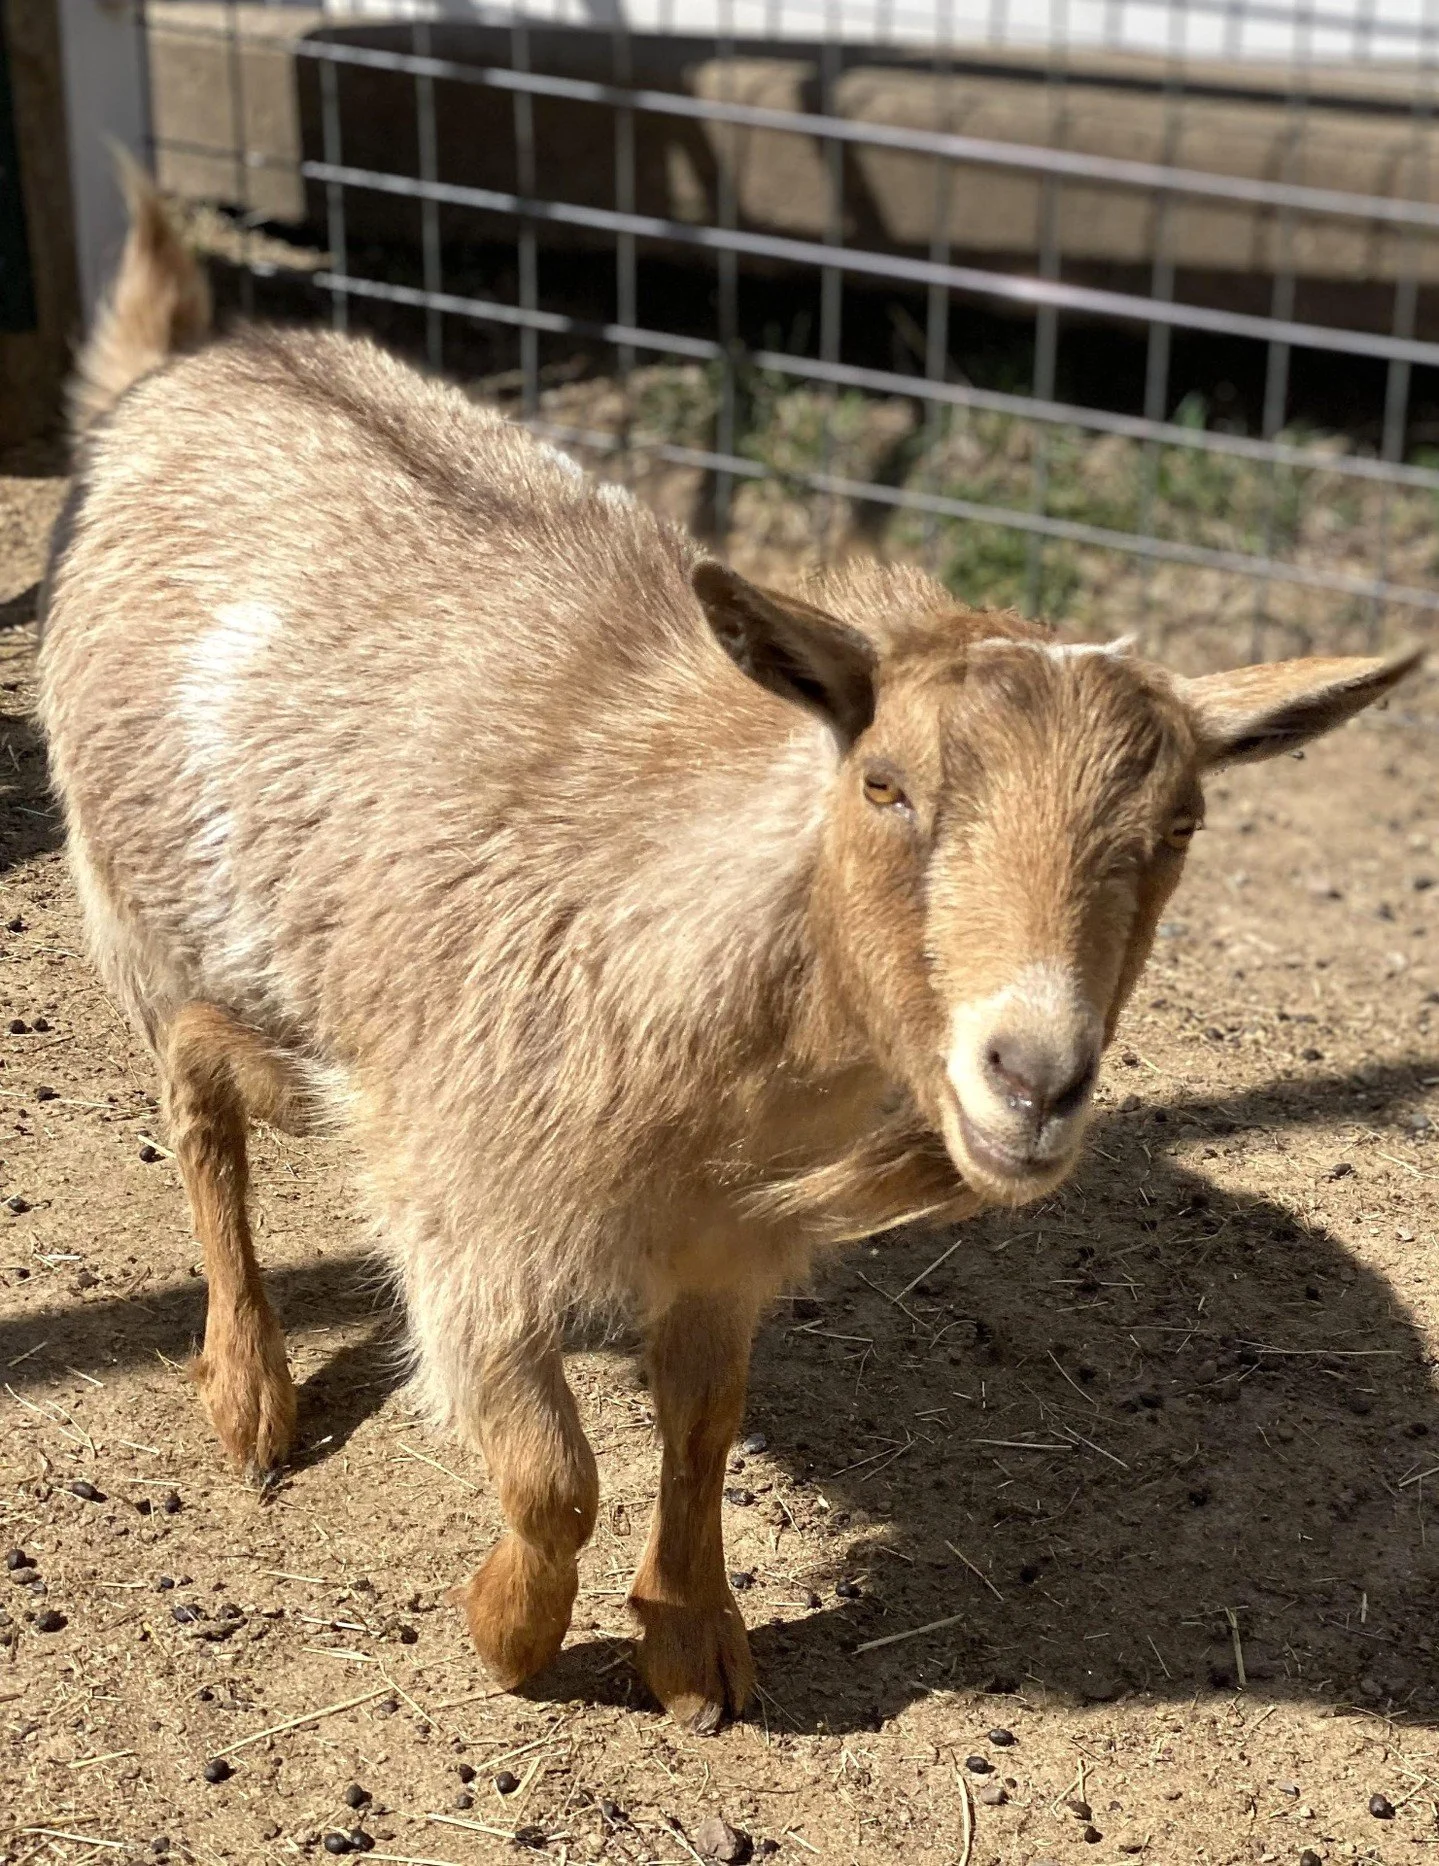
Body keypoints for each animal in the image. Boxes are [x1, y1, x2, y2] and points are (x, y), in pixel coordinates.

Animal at [37, 175, 1419, 1730]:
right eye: (882, 784)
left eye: (1179, 824)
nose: (1032, 1076)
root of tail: (196, 367)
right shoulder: (467, 1212)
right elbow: (552, 1473)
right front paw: (508, 1637)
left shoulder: (724, 1236)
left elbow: (701, 1421)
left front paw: (692, 1644)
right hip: (145, 914)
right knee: (193, 1096)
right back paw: (248, 1387)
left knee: (222, 1068)